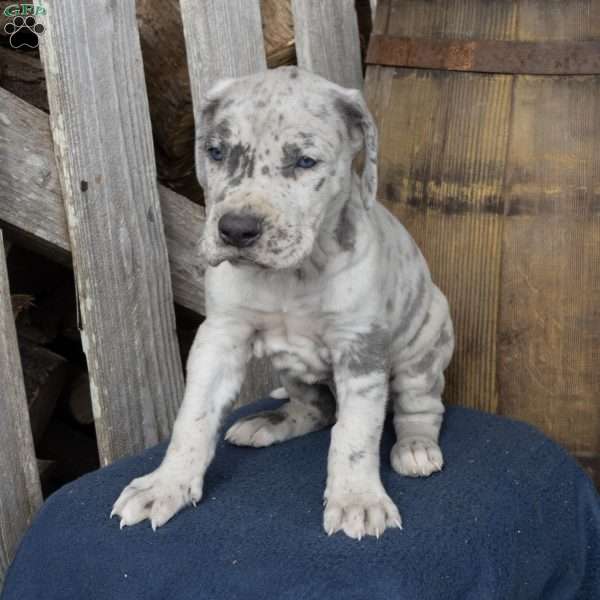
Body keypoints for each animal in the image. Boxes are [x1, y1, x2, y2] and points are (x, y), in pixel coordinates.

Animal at [112, 68, 452, 540]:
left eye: (305, 161)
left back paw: (416, 447)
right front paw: (166, 484)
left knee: (421, 404)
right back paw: (268, 422)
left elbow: (355, 434)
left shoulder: (360, 349)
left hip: (423, 347)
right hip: (292, 369)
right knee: (317, 409)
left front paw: (357, 500)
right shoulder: (220, 337)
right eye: (216, 152)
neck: (293, 277)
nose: (236, 230)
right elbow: (193, 417)